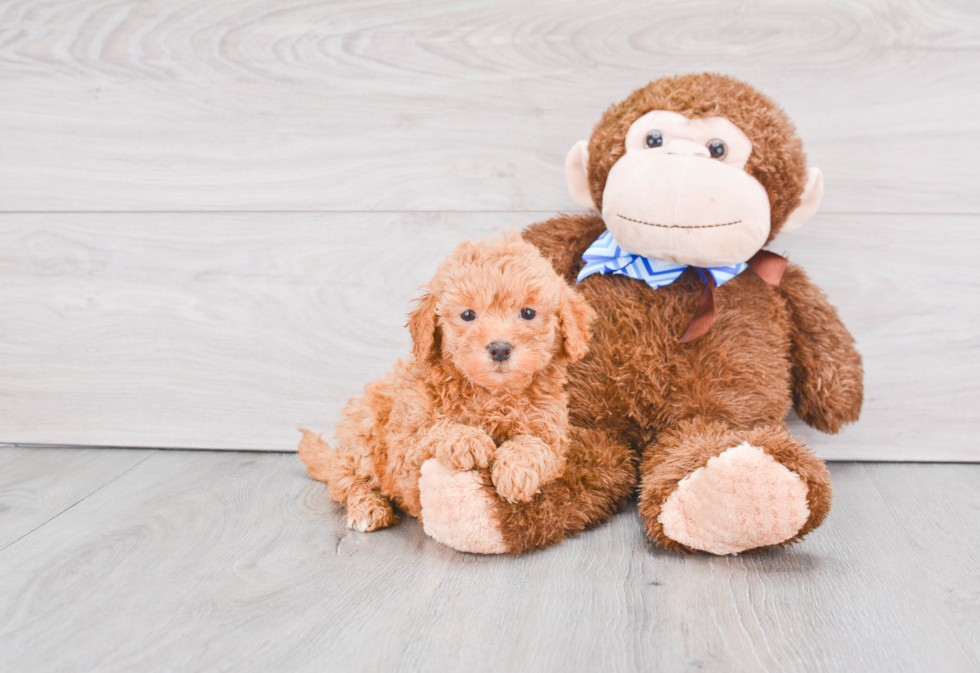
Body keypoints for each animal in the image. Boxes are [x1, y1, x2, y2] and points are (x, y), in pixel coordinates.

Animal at [294, 234, 592, 532]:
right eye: (468, 315)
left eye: (528, 313)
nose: (499, 348)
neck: (492, 395)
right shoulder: (404, 448)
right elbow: (432, 430)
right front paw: (466, 440)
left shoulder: (553, 434)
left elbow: (534, 444)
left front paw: (515, 472)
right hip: (362, 434)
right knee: (347, 482)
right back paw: (367, 508)